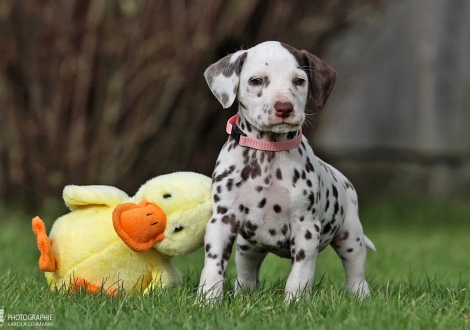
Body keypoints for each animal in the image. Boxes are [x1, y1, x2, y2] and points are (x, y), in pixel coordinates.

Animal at [197, 40, 374, 302]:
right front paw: (207, 301)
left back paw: (359, 294)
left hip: (351, 234)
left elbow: (300, 275)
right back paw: (244, 294)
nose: (284, 107)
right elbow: (213, 265)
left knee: (355, 268)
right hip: (247, 246)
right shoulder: (222, 220)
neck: (268, 154)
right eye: (257, 80)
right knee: (246, 271)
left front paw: (295, 303)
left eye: (299, 81)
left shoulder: (306, 228)